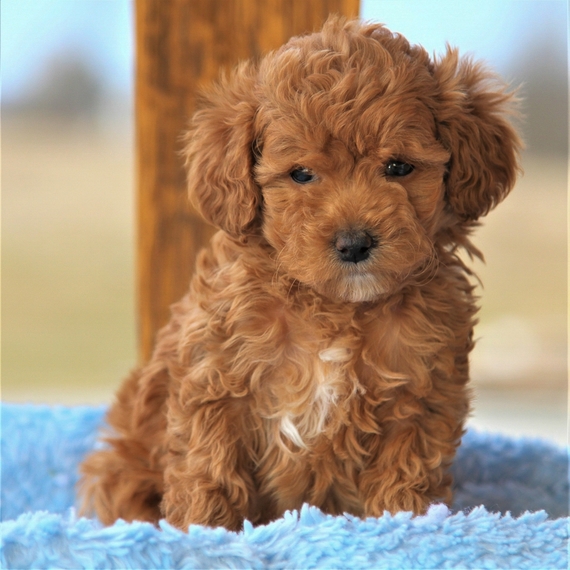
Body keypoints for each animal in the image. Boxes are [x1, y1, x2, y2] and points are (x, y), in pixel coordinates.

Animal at [80, 16, 520, 528]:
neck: (336, 308)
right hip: (122, 467)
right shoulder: (215, 381)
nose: (354, 243)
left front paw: (407, 522)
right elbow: (209, 468)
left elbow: (405, 473)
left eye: (398, 167)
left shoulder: (421, 394)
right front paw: (202, 530)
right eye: (301, 174)